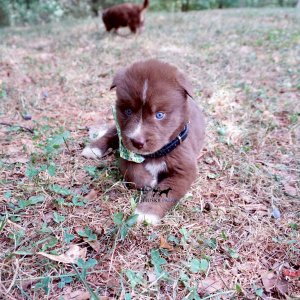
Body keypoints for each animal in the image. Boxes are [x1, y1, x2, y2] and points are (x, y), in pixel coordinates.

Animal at [81, 59, 206, 223]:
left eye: (159, 115)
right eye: (128, 111)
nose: (137, 142)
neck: (157, 153)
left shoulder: (184, 170)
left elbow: (166, 191)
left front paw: (147, 212)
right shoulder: (125, 147)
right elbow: (129, 167)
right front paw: (147, 181)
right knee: (112, 133)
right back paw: (93, 148)